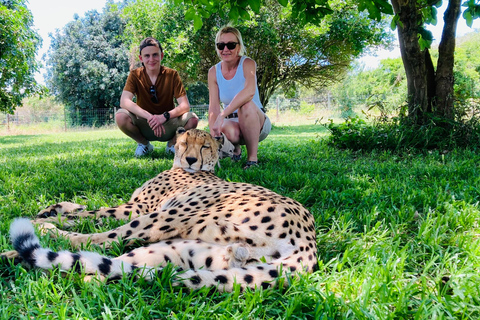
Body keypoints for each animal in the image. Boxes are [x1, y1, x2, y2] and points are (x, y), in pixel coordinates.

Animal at [5, 128, 318, 292]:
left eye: (205, 146)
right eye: (183, 143)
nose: (190, 160)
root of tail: (309, 242)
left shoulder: (138, 207)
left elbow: (93, 215)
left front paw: (50, 216)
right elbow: (87, 206)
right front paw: (52, 208)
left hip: (173, 215)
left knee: (96, 240)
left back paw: (40, 232)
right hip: (178, 252)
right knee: (105, 264)